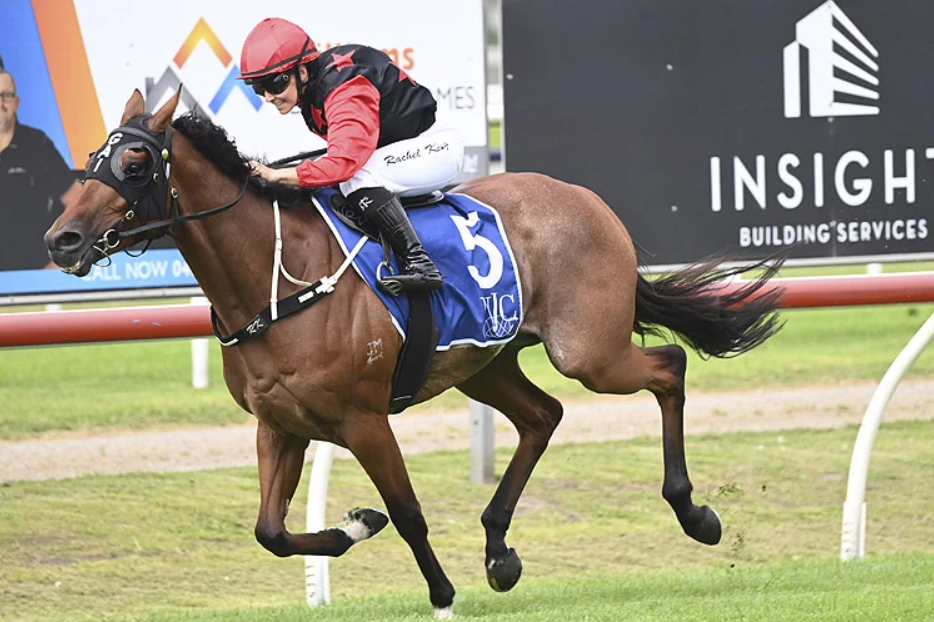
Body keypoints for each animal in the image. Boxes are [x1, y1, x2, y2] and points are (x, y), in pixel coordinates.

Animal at [45, 89, 783, 618]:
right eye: (92, 162)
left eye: (135, 164)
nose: (62, 239)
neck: (275, 283)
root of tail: (587, 200)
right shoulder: (280, 426)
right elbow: (270, 531)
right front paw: (354, 524)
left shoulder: (363, 420)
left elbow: (407, 513)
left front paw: (440, 595)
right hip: (485, 361)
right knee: (542, 416)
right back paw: (499, 551)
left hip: (587, 352)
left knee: (668, 369)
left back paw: (695, 513)